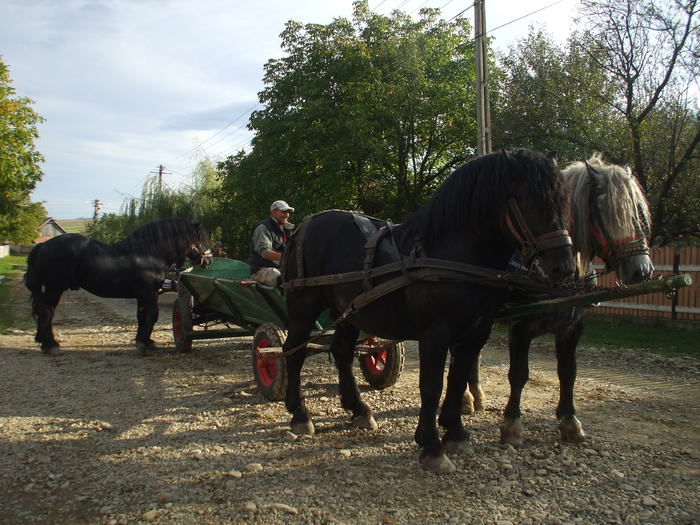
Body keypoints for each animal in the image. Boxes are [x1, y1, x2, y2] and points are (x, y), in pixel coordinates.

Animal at [24, 217, 211, 356]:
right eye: (201, 239)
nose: (208, 261)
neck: (148, 254)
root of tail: (43, 245)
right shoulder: (148, 292)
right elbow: (151, 315)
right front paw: (143, 343)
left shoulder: (143, 294)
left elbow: (142, 316)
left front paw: (145, 341)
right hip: (54, 288)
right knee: (47, 312)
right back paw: (51, 345)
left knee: (43, 311)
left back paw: (43, 342)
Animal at [282, 149, 576, 472]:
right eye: (529, 202)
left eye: (564, 202)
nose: (564, 267)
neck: (452, 253)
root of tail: (304, 225)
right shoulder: (436, 333)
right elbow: (432, 386)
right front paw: (432, 447)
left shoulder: (476, 332)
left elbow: (457, 380)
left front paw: (456, 434)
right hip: (303, 308)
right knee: (293, 352)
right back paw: (300, 414)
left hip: (347, 311)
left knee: (343, 352)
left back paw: (358, 409)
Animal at [462, 152, 652, 446]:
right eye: (607, 211)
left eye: (637, 211)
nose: (641, 269)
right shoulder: (521, 326)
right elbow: (519, 374)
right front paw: (512, 424)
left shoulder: (572, 328)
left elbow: (568, 373)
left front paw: (570, 421)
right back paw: (465, 399)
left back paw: (476, 396)